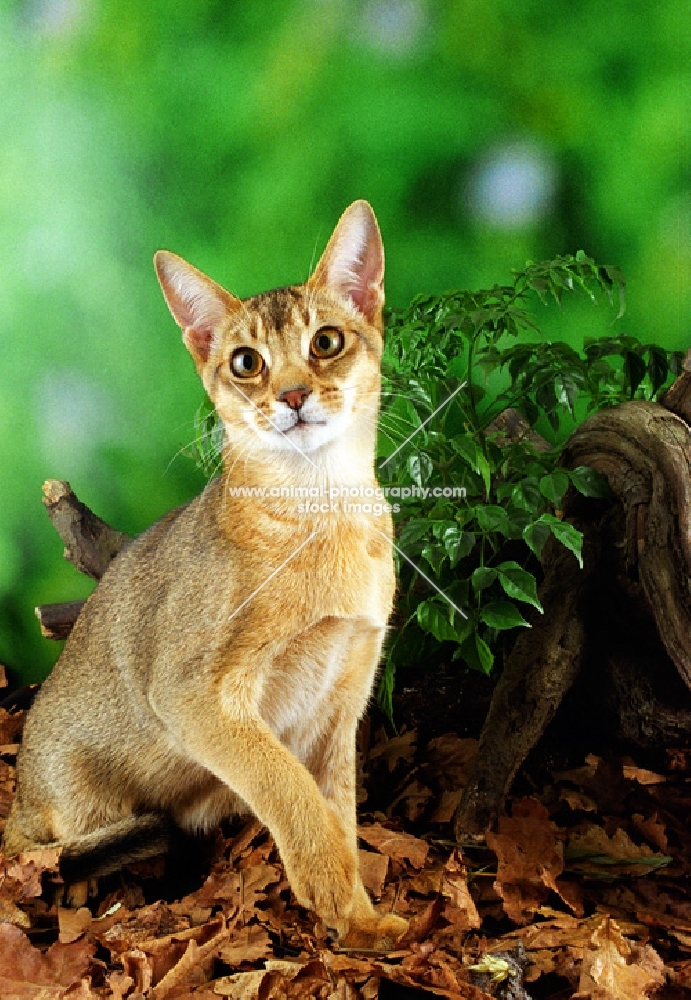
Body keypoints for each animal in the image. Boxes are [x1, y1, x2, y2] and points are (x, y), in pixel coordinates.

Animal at [4, 199, 410, 948]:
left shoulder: (340, 701)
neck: (321, 513)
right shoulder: (194, 696)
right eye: (246, 362)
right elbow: (293, 798)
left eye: (327, 342)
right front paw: (335, 897)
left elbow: (337, 812)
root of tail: (17, 801)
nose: (293, 395)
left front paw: (359, 923)